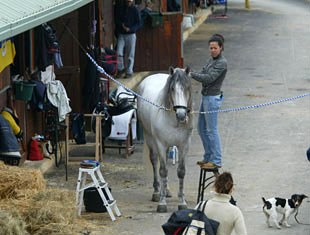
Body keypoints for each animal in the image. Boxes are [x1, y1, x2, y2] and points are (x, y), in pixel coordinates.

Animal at [137, 66, 193, 213]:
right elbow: (162, 171)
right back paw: (157, 192)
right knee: (155, 162)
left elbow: (181, 172)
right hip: (149, 138)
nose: (181, 114)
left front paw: (182, 202)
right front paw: (161, 203)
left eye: (187, 87)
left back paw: (166, 190)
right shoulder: (161, 144)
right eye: (172, 88)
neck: (172, 120)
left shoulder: (184, 146)